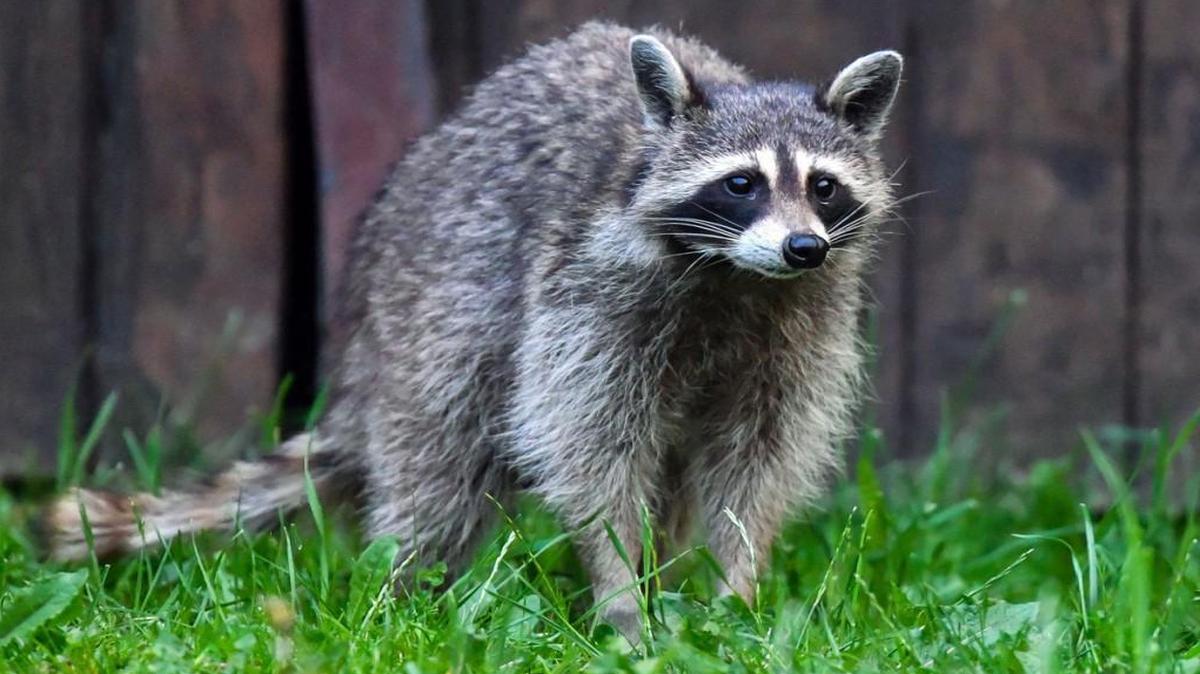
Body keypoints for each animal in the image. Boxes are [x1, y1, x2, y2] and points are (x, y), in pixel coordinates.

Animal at [46, 22, 903, 637]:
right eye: (741, 183)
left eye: (824, 187)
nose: (803, 247)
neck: (734, 275)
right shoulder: (588, 298)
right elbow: (587, 449)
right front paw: (620, 589)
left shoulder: (799, 326)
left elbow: (756, 460)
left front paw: (732, 585)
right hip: (437, 301)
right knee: (439, 457)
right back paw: (404, 595)